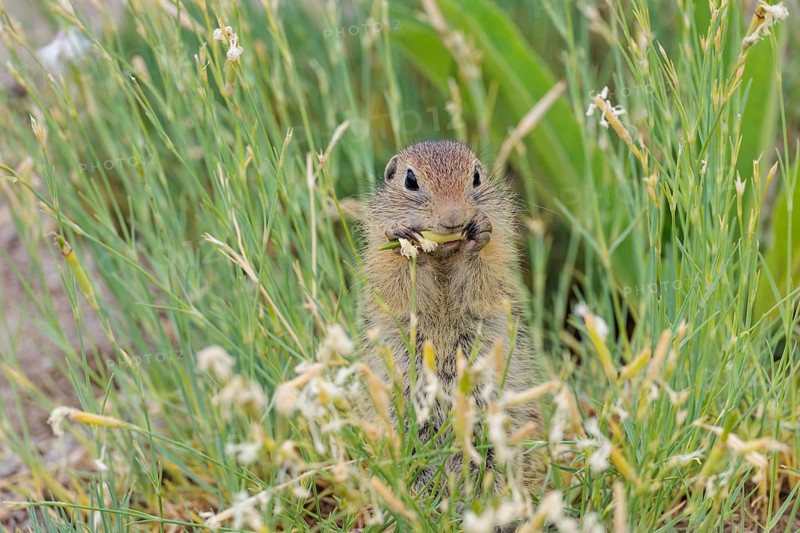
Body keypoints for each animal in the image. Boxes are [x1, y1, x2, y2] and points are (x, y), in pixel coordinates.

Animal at [360, 139, 540, 499]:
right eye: (410, 181)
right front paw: (404, 240)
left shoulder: (497, 256)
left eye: (476, 177)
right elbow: (401, 284)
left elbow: (482, 277)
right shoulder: (380, 256)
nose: (454, 217)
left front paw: (479, 235)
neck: (443, 256)